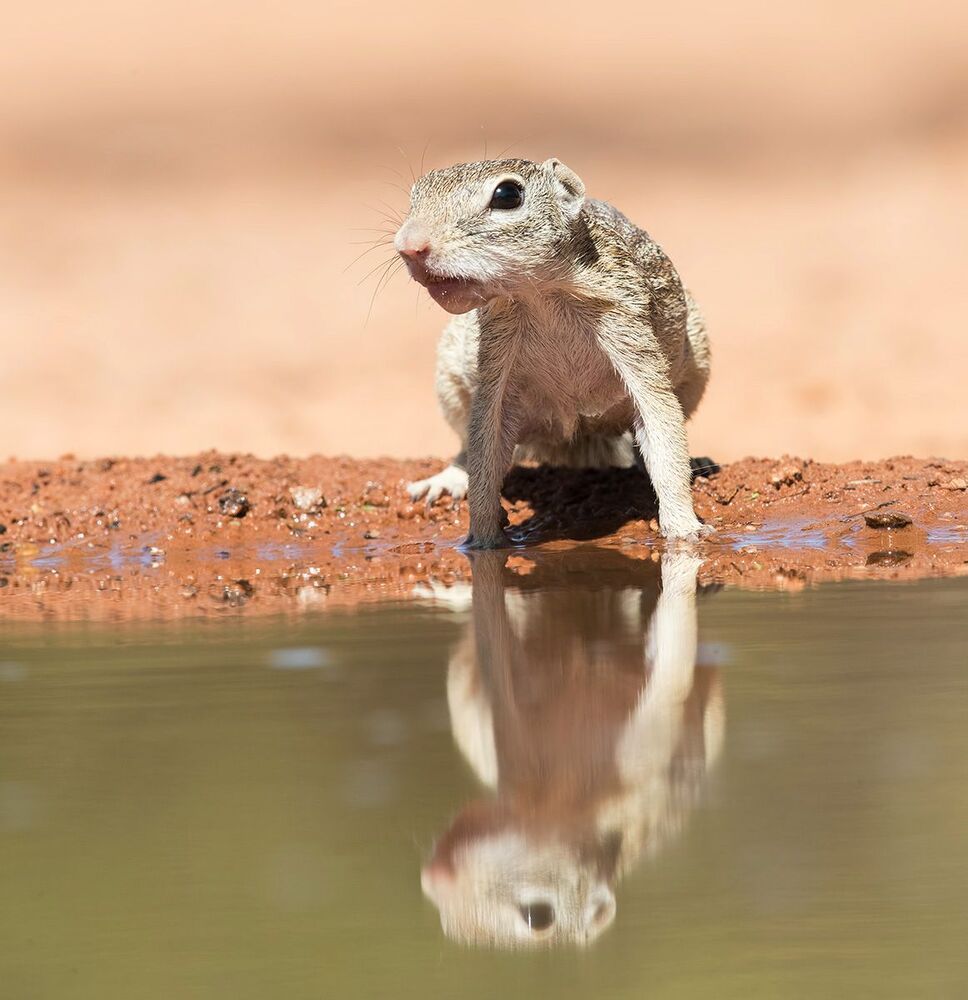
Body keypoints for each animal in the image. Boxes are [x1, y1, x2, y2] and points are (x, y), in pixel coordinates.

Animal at [395, 157, 711, 545]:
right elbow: (484, 446)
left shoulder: (628, 328)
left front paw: (684, 529)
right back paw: (447, 479)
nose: (409, 245)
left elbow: (661, 423)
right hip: (450, 381)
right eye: (415, 196)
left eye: (507, 195)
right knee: (464, 449)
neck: (541, 295)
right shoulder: (497, 356)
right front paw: (481, 540)